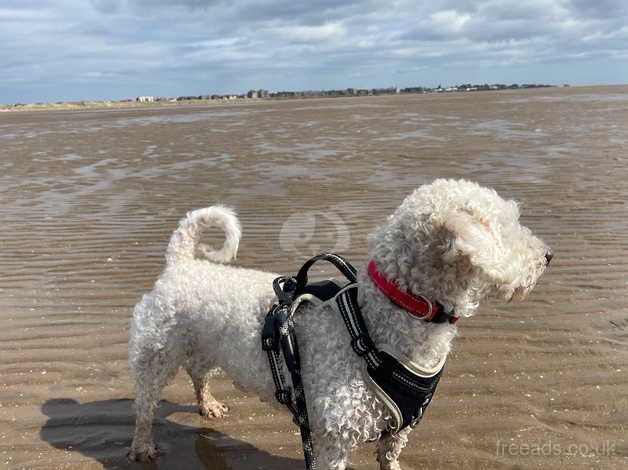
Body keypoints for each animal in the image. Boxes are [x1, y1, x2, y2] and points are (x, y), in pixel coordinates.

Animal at [127, 178, 548, 468]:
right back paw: (142, 446)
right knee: (145, 406)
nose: (548, 256)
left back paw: (208, 405)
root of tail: (182, 263)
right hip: (155, 354)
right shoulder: (333, 440)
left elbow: (389, 457)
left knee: (199, 374)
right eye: (506, 228)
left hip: (202, 346)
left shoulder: (400, 427)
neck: (377, 321)